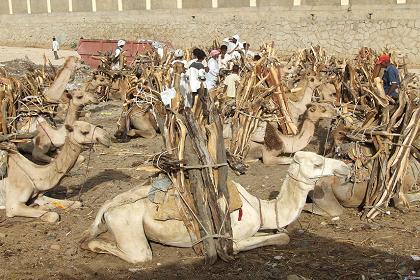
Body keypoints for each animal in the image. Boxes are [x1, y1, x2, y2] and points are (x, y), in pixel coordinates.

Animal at [83, 152, 352, 264]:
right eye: (317, 164)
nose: (347, 168)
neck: (262, 209)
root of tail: (108, 204)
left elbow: (283, 234)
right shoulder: (233, 236)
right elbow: (280, 237)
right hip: (125, 221)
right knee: (139, 255)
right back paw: (92, 245)